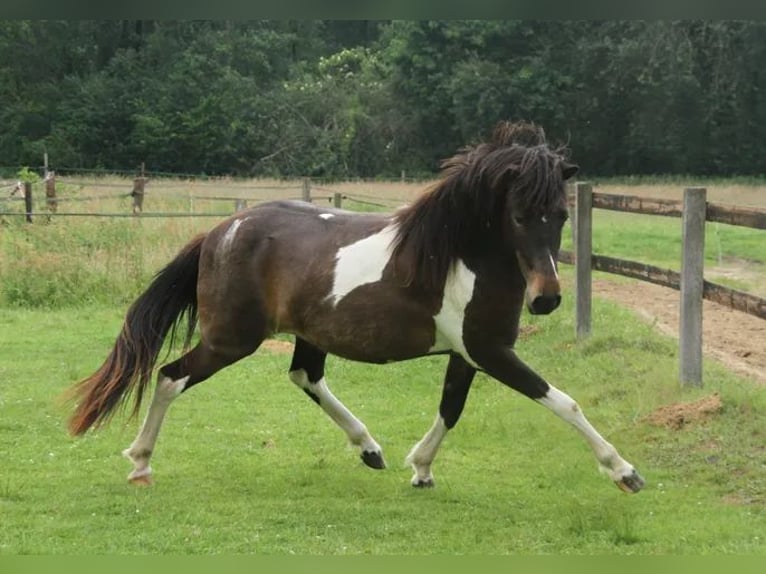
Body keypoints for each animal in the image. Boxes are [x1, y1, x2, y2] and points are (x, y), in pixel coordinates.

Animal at [66, 121, 644, 494]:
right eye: (521, 216)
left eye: (561, 215)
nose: (547, 299)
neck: (458, 256)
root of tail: (220, 231)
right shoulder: (490, 351)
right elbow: (564, 402)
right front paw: (623, 471)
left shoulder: (471, 353)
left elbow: (451, 408)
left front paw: (421, 469)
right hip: (231, 339)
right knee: (170, 376)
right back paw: (140, 463)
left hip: (304, 334)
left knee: (304, 376)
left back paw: (370, 449)